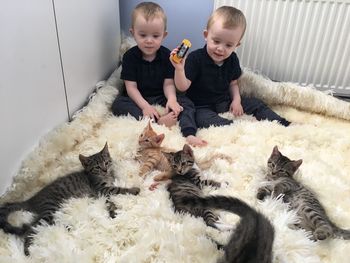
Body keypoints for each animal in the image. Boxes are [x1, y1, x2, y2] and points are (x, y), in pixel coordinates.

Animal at [0, 143, 139, 256]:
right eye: (97, 167)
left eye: (106, 162)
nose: (105, 170)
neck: (105, 176)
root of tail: (32, 199)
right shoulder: (101, 189)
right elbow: (118, 189)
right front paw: (134, 190)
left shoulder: (103, 193)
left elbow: (110, 202)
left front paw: (113, 212)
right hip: (49, 209)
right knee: (30, 228)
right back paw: (27, 250)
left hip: (49, 213)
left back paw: (67, 227)